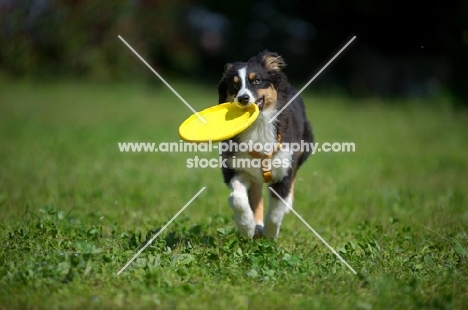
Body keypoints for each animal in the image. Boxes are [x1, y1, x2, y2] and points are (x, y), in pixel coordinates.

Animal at [217, 50, 312, 240]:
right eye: (234, 85)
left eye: (256, 81)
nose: (243, 98)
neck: (257, 125)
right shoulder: (234, 165)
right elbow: (237, 199)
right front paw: (247, 226)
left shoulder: (283, 166)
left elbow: (276, 210)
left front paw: (270, 235)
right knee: (255, 195)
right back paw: (257, 225)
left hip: (305, 146)